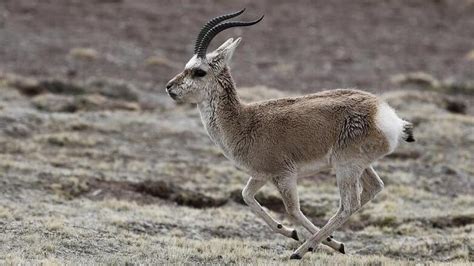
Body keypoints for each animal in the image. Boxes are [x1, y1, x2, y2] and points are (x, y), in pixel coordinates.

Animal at [166, 8, 414, 260]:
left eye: (199, 71)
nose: (169, 87)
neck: (244, 121)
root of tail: (384, 114)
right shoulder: (262, 175)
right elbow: (247, 197)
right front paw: (301, 235)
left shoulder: (284, 175)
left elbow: (293, 210)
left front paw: (316, 242)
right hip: (359, 166)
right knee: (373, 188)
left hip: (346, 166)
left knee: (349, 204)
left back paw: (301, 251)